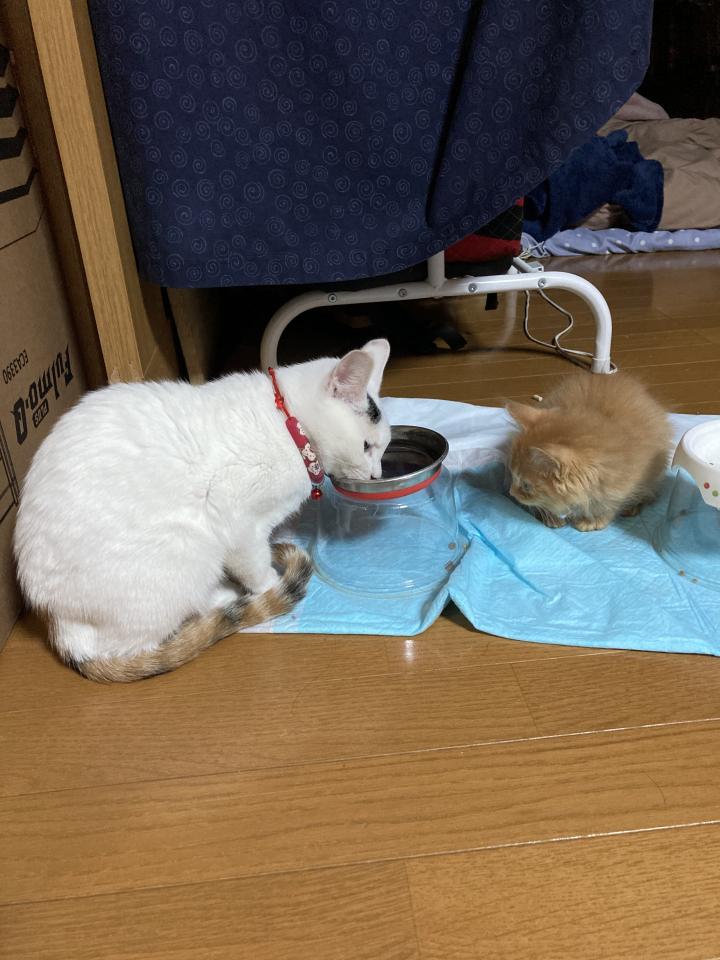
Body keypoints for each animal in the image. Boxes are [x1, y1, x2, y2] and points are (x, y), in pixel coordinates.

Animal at [14, 339, 391, 682]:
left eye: (382, 448)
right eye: (366, 446)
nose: (376, 475)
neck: (289, 424)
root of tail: (61, 623)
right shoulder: (236, 518)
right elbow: (255, 565)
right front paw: (269, 584)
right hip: (189, 546)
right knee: (142, 638)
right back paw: (229, 597)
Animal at [506, 370, 672, 531]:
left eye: (526, 486)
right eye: (511, 474)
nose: (511, 493)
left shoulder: (621, 485)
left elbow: (609, 504)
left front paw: (593, 520)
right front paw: (552, 516)